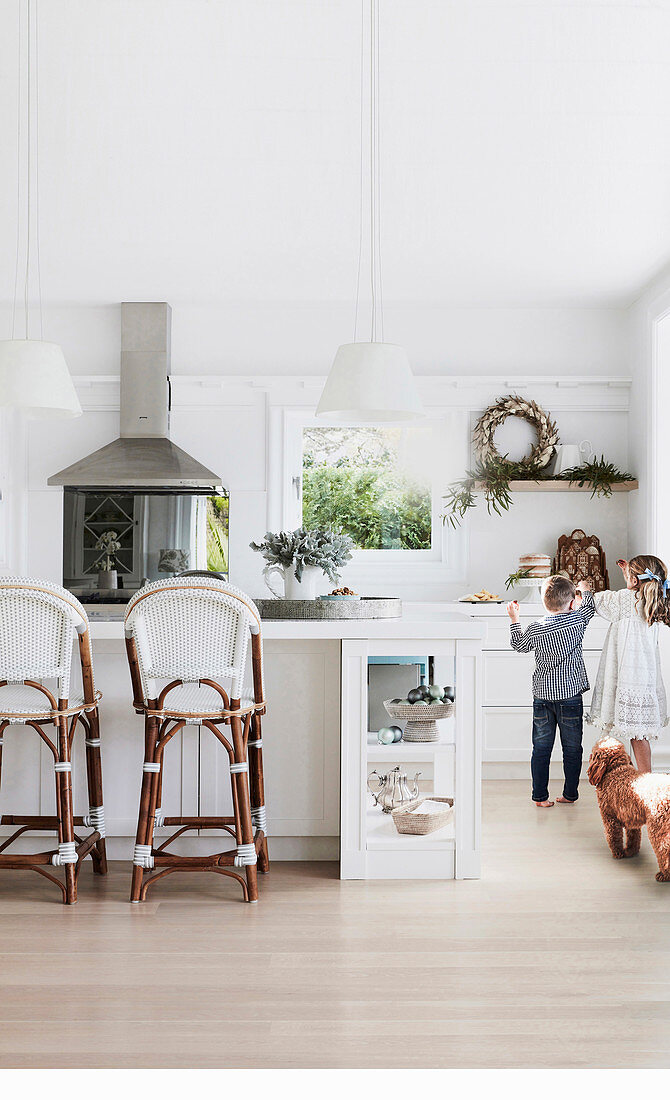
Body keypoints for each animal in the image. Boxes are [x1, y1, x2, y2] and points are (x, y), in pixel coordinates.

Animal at [589, 734, 668, 880]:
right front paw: (631, 852)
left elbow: (614, 836)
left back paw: (664, 875)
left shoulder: (609, 817)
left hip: (658, 830)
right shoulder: (632, 819)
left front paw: (618, 853)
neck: (615, 769)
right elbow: (633, 838)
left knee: (664, 851)